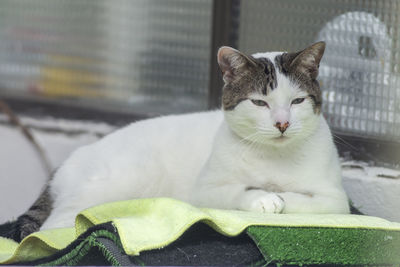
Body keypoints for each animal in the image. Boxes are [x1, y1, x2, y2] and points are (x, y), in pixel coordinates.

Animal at [7, 42, 348, 243]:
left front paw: (277, 195)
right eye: (259, 103)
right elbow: (241, 191)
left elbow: (304, 202)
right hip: (124, 178)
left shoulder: (337, 201)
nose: (282, 123)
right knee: (53, 226)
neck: (274, 157)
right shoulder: (204, 191)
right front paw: (264, 198)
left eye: (297, 101)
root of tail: (72, 157)